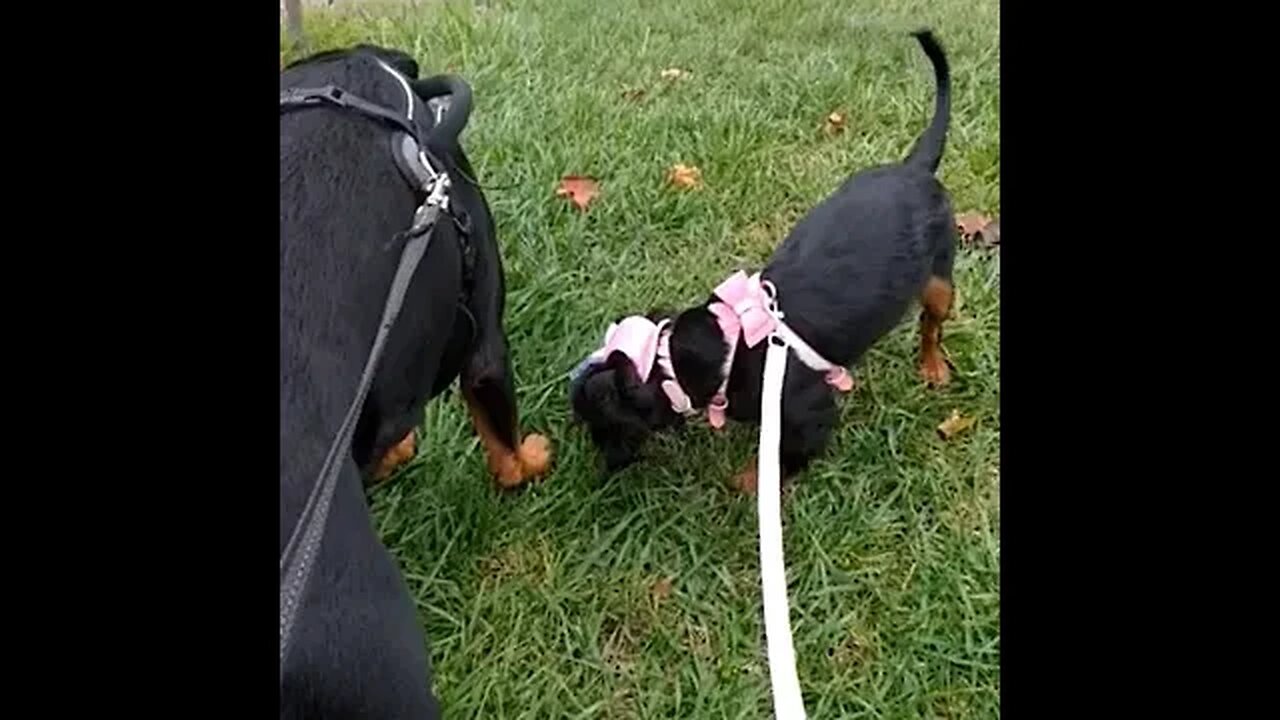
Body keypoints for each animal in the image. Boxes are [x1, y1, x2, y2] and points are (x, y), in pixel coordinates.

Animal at [576, 28, 957, 486]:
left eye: (602, 427)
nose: (604, 471)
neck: (722, 349)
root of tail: (915, 168)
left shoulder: (808, 414)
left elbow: (778, 461)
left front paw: (746, 484)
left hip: (940, 279)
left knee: (931, 324)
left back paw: (933, 368)